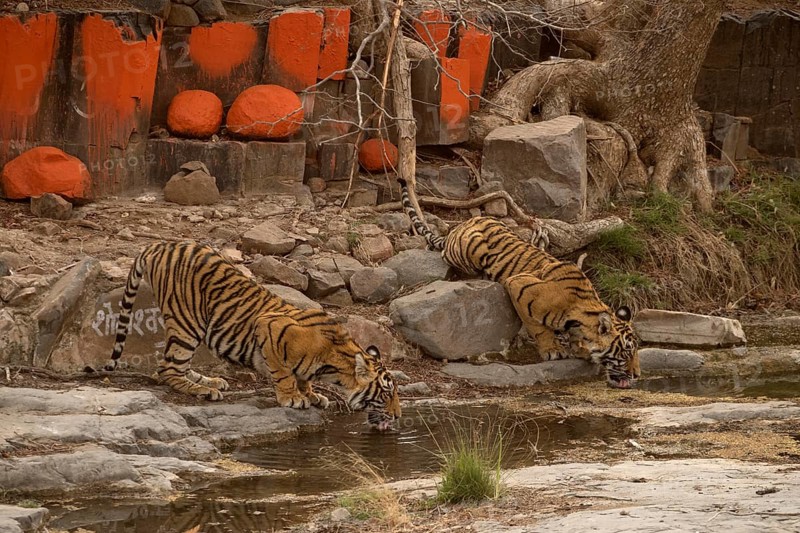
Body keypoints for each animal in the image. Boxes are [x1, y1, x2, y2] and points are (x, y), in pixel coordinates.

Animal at [97, 240, 401, 430]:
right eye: (386, 394)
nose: (398, 416)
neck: (334, 363)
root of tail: (159, 244)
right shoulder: (270, 327)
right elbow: (283, 373)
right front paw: (293, 397)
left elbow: (303, 377)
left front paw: (312, 394)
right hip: (187, 321)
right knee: (167, 368)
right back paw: (203, 390)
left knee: (173, 364)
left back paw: (211, 381)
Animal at [398, 179, 640, 389]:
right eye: (626, 353)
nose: (637, 375)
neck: (581, 315)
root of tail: (464, 224)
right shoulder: (519, 285)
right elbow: (537, 327)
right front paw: (552, 349)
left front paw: (578, 349)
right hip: (469, 249)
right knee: (444, 252)